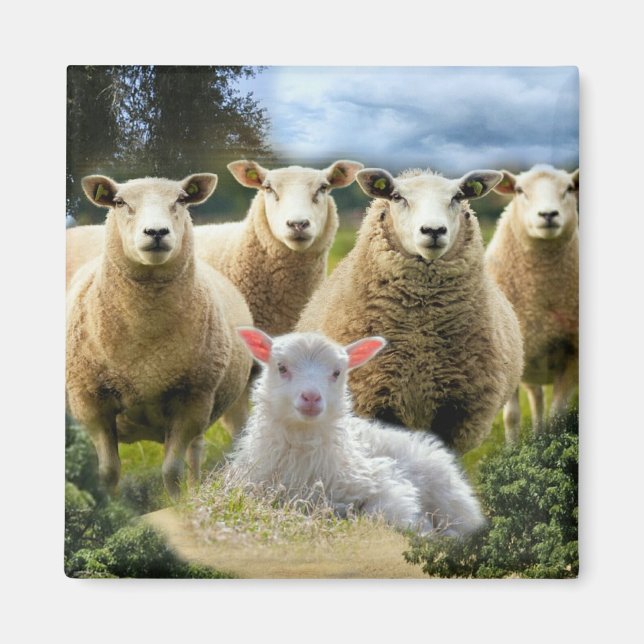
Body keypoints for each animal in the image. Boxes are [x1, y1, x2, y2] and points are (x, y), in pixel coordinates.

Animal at [66, 173, 253, 499]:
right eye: (119, 202)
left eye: (181, 199)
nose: (156, 232)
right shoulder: (90, 402)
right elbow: (108, 471)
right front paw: (111, 503)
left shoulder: (192, 400)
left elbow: (171, 471)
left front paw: (178, 503)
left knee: (196, 452)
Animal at [230, 328, 485, 536]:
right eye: (281, 367)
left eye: (337, 372)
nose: (311, 397)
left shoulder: (384, 483)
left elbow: (383, 513)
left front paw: (423, 529)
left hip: (449, 495)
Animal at [297, 168, 524, 454]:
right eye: (397, 196)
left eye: (458, 197)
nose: (433, 230)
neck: (420, 334)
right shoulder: (375, 398)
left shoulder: (456, 409)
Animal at [485, 164, 579, 441]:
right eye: (519, 190)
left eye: (569, 188)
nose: (548, 214)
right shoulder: (509, 357)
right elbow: (512, 416)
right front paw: (513, 447)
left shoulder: (572, 355)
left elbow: (558, 415)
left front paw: (552, 443)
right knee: (536, 400)